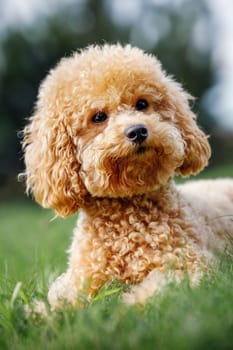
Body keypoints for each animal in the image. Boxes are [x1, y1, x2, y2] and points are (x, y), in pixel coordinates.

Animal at [22, 43, 233, 308]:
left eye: (142, 104)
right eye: (98, 117)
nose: (137, 131)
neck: (126, 214)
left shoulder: (190, 264)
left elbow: (158, 289)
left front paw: (124, 306)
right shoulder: (82, 278)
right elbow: (60, 300)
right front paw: (40, 312)